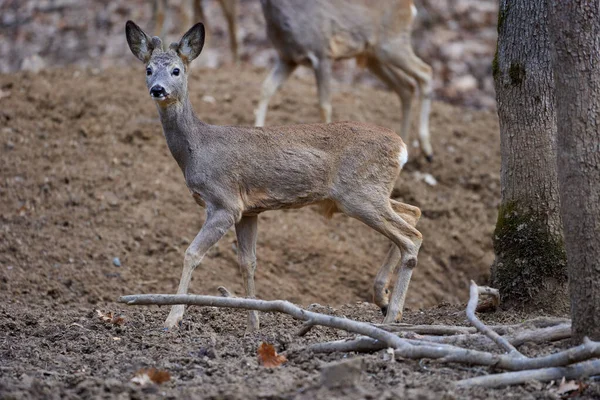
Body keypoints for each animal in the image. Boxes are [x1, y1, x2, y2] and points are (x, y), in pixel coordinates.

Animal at [125, 20, 424, 330]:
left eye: (176, 70)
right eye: (148, 69)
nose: (158, 89)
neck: (196, 149)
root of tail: (401, 147)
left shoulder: (225, 202)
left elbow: (192, 254)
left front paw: (172, 318)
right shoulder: (248, 210)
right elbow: (248, 262)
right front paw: (253, 325)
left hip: (359, 194)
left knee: (411, 236)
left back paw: (392, 314)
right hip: (366, 193)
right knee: (412, 212)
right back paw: (384, 300)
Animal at [255, 0, 434, 162]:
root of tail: (410, 7)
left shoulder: (322, 54)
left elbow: (324, 106)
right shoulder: (288, 58)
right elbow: (266, 88)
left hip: (391, 45)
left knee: (425, 72)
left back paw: (427, 151)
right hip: (373, 56)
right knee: (407, 86)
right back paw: (404, 148)